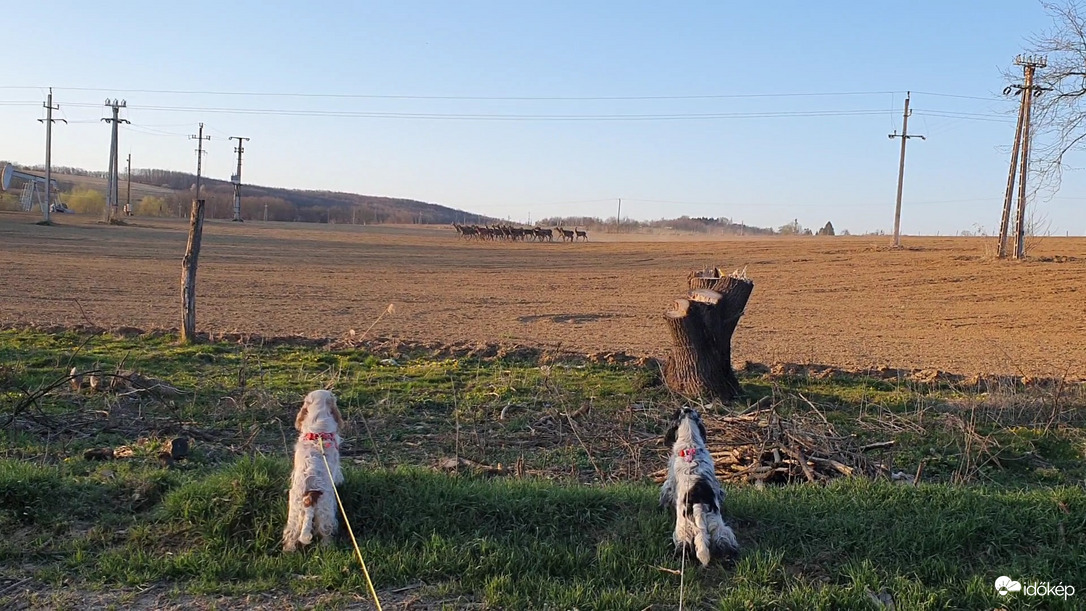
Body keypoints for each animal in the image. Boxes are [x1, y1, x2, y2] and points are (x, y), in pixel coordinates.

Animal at [284, 392, 343, 555]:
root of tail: (310, 496)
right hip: (326, 512)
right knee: (326, 532)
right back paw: (328, 547)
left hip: (295, 513)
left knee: (291, 534)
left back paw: (288, 550)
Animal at [660, 408, 738, 568]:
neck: (690, 442)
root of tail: (698, 505)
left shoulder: (670, 482)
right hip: (718, 527)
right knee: (724, 541)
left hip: (683, 531)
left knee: (683, 546)